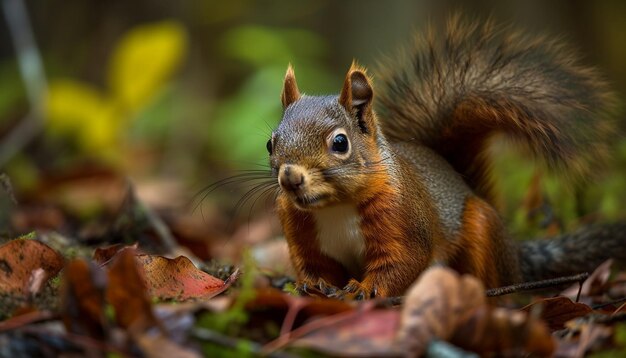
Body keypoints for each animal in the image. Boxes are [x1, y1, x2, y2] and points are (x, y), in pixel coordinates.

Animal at [264, 16, 620, 296]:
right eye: (270, 143)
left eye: (340, 143)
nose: (290, 177)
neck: (334, 208)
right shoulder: (299, 232)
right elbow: (313, 265)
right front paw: (312, 285)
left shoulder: (404, 220)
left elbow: (402, 263)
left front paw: (363, 290)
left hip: (480, 228)